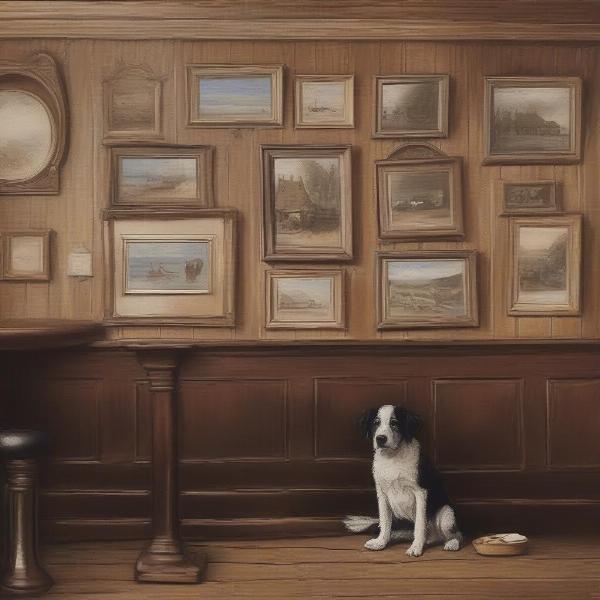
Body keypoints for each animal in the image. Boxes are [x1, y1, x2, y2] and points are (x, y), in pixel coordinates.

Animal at [342, 406, 464, 556]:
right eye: (376, 422)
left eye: (394, 423)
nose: (380, 438)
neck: (392, 457)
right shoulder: (382, 494)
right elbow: (384, 521)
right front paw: (380, 542)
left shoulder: (421, 493)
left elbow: (420, 524)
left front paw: (416, 547)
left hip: (447, 514)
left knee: (457, 534)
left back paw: (451, 543)